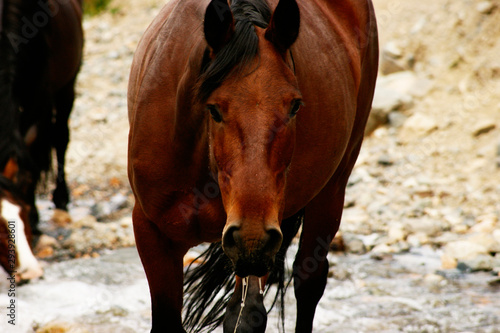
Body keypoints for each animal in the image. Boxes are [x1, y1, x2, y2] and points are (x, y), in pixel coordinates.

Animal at [0, 0, 83, 280]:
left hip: (69, 83)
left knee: (61, 137)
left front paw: (34, 219)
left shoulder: (41, 100)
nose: (28, 271)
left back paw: (60, 197)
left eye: (20, 212)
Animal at [127, 0, 376, 330]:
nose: (252, 237)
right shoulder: (152, 233)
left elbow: (247, 317)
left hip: (329, 193)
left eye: (295, 106)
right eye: (214, 109)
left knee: (307, 282)